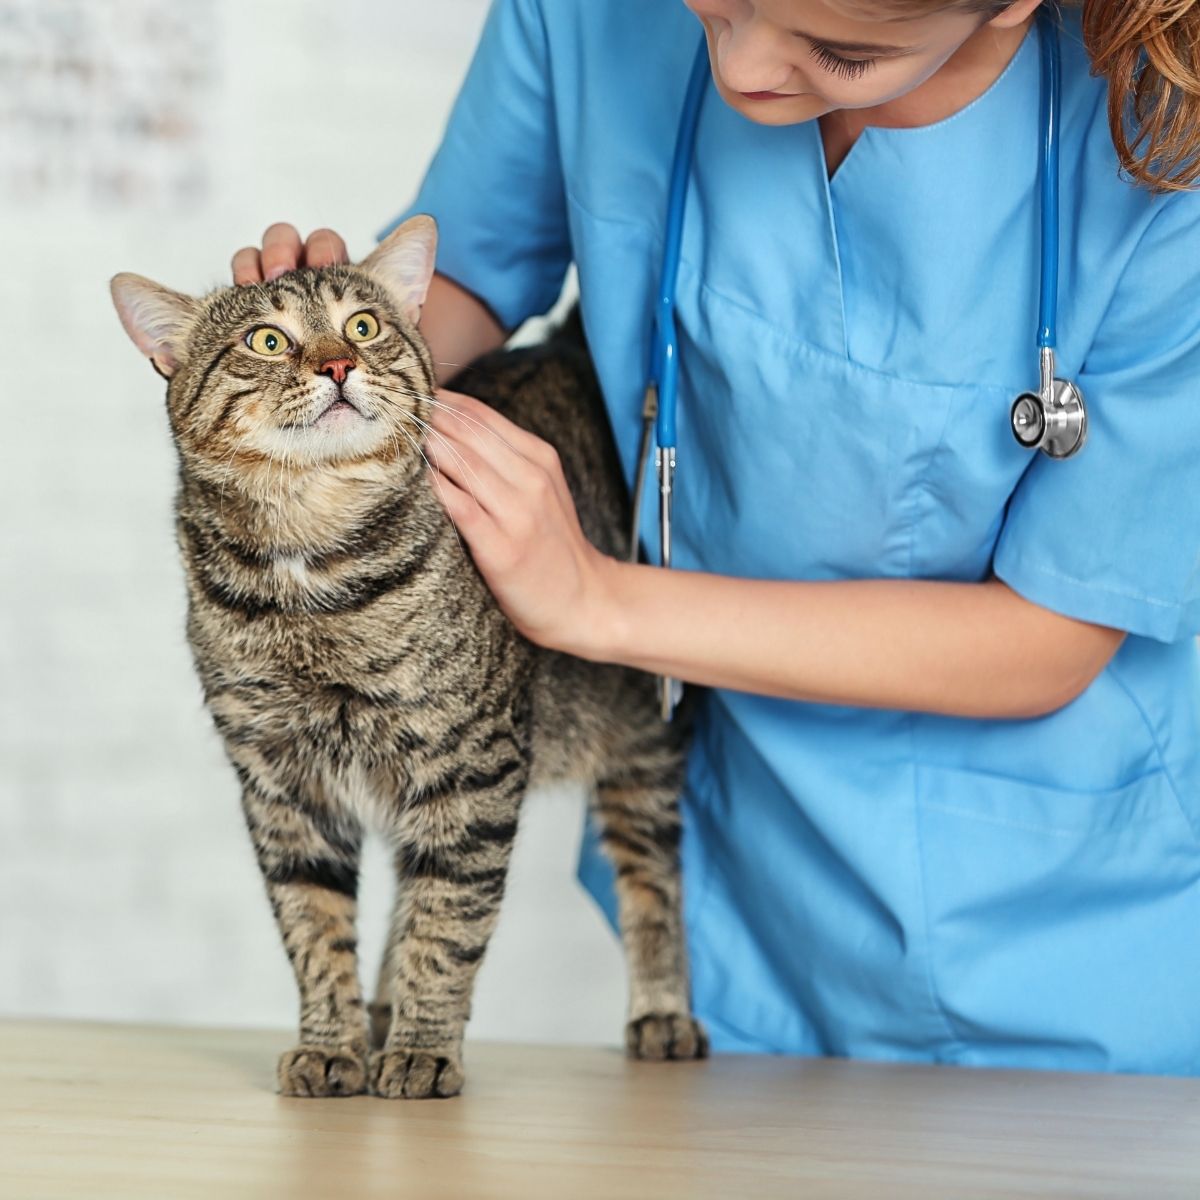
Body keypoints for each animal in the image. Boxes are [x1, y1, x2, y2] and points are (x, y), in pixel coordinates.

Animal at [108, 213, 705, 1099]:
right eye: (267, 339)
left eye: (362, 326)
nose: (338, 363)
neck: (309, 564)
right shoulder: (282, 786)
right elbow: (314, 927)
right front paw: (334, 1044)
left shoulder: (471, 767)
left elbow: (448, 921)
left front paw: (424, 1048)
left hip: (644, 740)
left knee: (651, 874)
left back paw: (661, 1012)